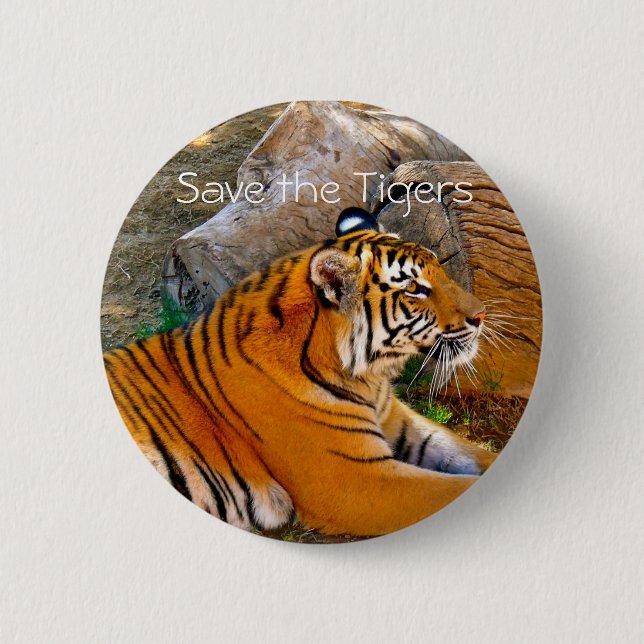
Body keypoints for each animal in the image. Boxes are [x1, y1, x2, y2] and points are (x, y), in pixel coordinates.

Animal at [104, 207, 496, 537]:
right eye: (414, 288)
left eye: (440, 269)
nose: (481, 314)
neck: (366, 376)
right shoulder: (355, 481)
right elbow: (457, 488)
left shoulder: (398, 424)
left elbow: (474, 454)